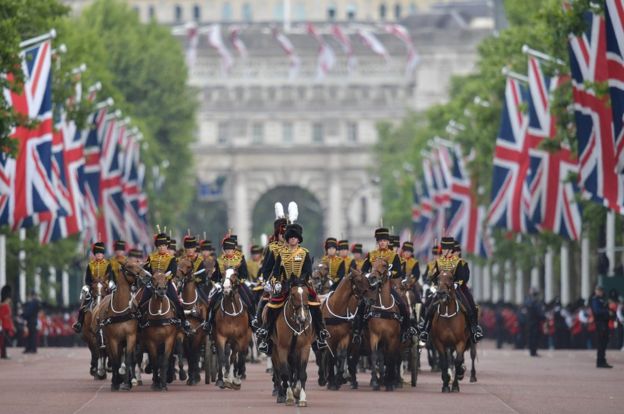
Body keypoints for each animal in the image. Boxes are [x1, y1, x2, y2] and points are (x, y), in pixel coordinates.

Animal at [98, 262, 141, 392]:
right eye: (130, 266)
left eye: (139, 263)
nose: (146, 275)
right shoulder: (112, 339)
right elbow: (115, 360)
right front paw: (115, 383)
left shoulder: (130, 336)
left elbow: (128, 359)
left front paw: (127, 384)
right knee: (113, 358)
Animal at [177, 258, 213, 386]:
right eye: (178, 263)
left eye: (189, 266)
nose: (178, 276)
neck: (190, 307)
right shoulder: (184, 334)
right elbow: (186, 353)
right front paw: (186, 375)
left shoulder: (197, 335)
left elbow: (194, 355)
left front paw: (193, 377)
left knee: (197, 354)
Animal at [364, 258, 402, 392]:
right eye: (372, 264)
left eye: (385, 265)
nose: (372, 277)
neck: (384, 309)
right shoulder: (374, 335)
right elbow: (375, 356)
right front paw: (376, 382)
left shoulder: (393, 338)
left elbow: (390, 358)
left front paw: (390, 383)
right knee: (380, 357)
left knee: (393, 357)